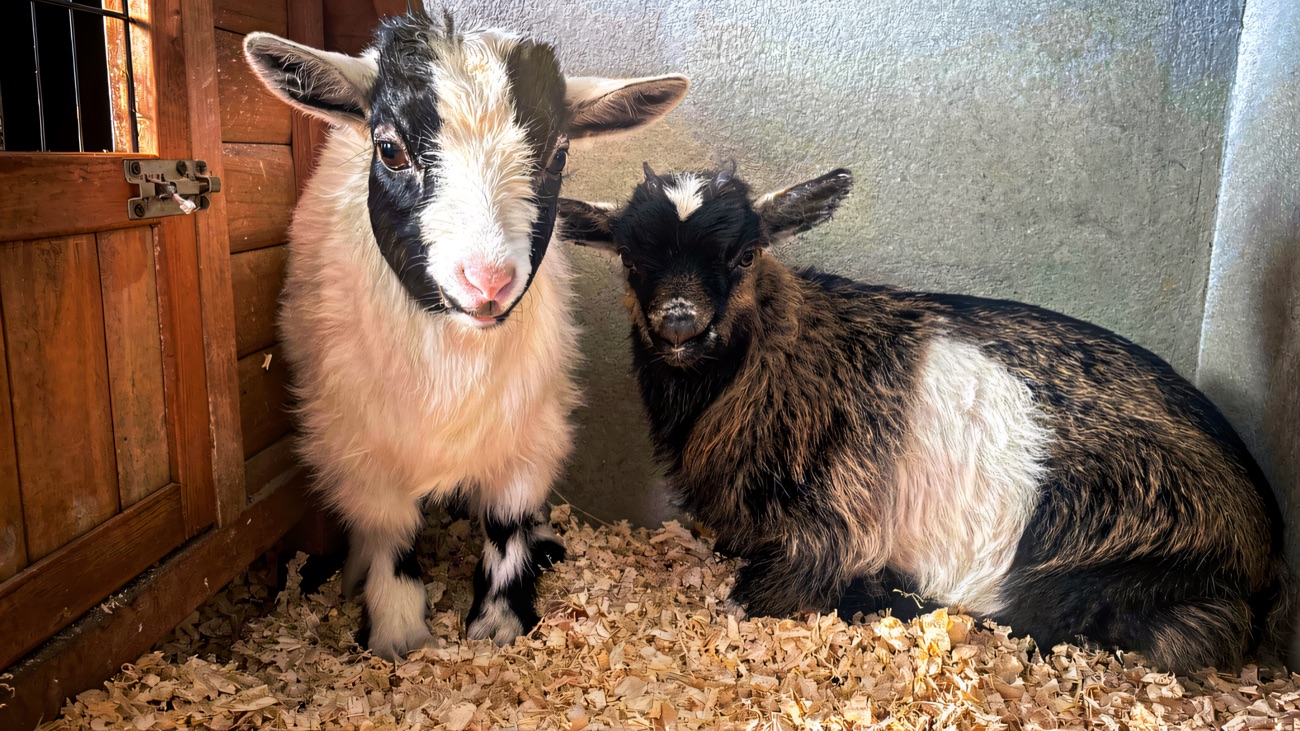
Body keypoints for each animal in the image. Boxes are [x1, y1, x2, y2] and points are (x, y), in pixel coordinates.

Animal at [242, 10, 689, 660]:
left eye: (557, 154)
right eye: (389, 149)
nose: (487, 280)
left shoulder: (530, 430)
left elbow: (507, 524)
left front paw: (498, 626)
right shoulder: (357, 442)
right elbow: (390, 530)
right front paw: (398, 635)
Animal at [559, 164, 1291, 673]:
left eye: (744, 254)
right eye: (630, 256)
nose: (679, 321)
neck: (776, 358)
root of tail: (1265, 544)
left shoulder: (830, 521)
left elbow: (777, 585)